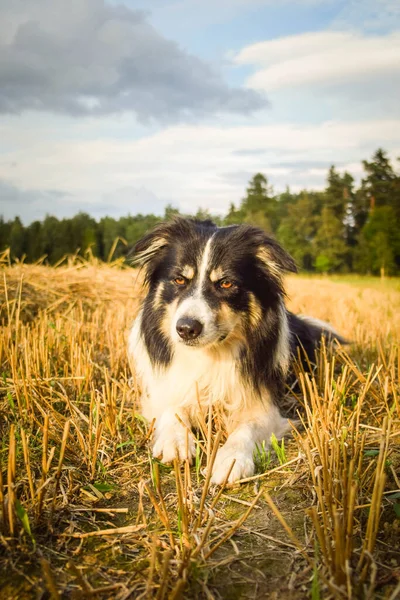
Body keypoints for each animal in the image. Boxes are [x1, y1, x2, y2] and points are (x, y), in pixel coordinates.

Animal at [130, 218, 342, 486]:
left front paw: (231, 461)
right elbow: (172, 409)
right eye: (179, 280)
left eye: (226, 283)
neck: (211, 353)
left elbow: (246, 428)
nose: (186, 329)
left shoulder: (266, 407)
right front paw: (175, 442)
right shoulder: (164, 390)